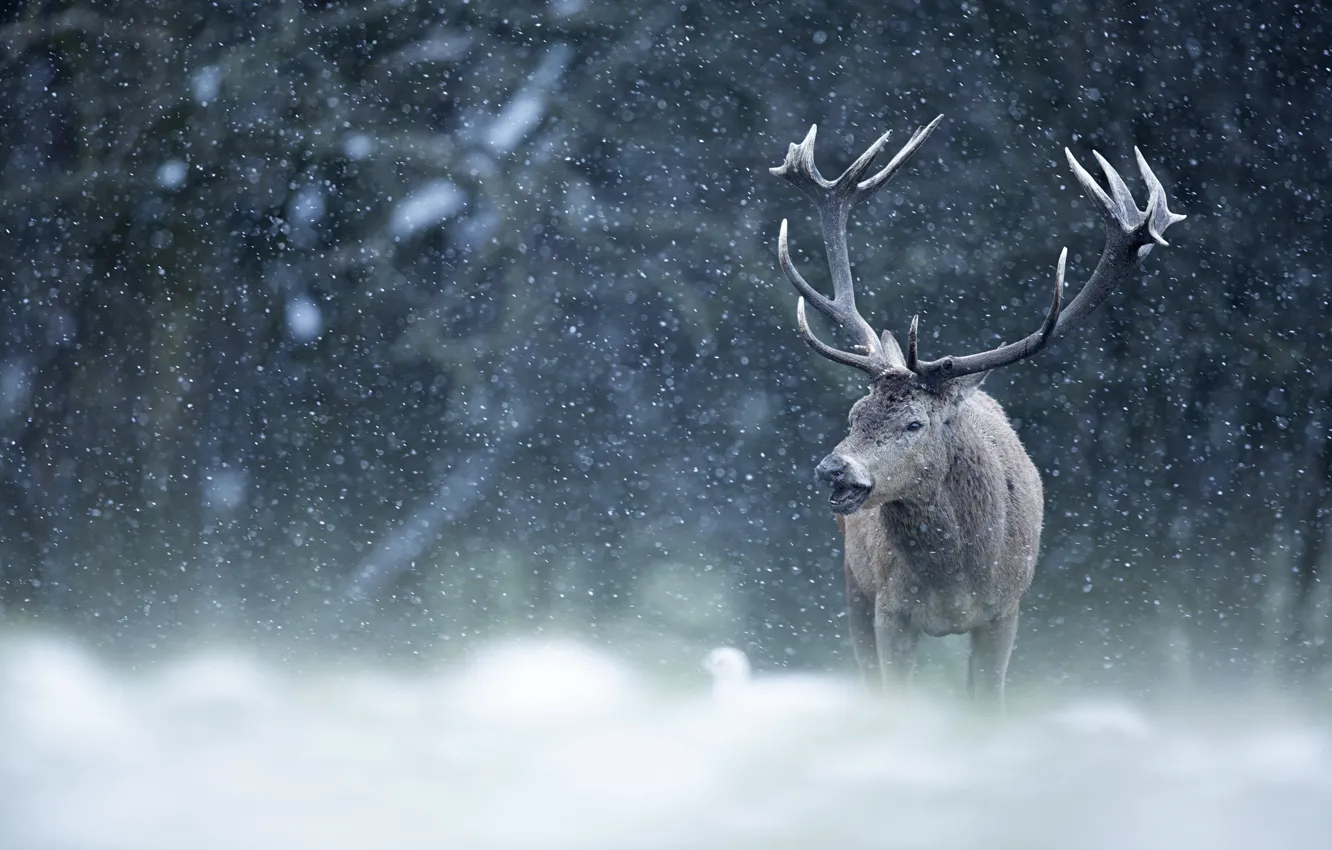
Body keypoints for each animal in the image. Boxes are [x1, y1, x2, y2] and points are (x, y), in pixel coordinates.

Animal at [770, 115, 1184, 707]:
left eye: (914, 422)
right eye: (854, 414)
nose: (834, 469)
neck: (956, 580)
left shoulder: (1005, 611)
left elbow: (988, 704)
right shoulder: (889, 609)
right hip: (853, 583)